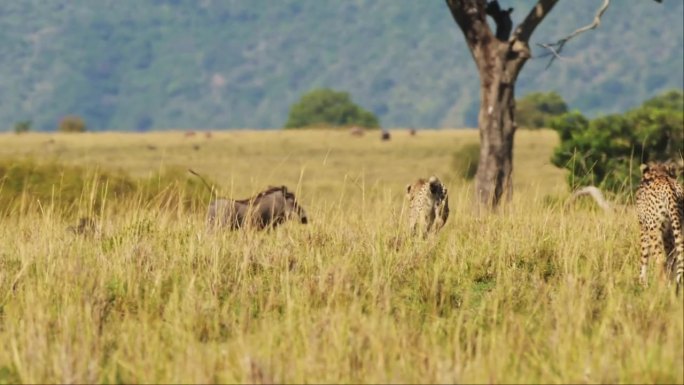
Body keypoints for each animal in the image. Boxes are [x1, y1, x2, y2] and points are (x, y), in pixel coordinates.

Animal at [636, 160, 684, 292]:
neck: (660, 173)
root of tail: (671, 186)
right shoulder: (668, 233)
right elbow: (671, 259)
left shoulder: (643, 228)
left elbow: (644, 256)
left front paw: (642, 282)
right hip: (677, 226)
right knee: (673, 258)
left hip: (654, 231)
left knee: (660, 260)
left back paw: (660, 289)